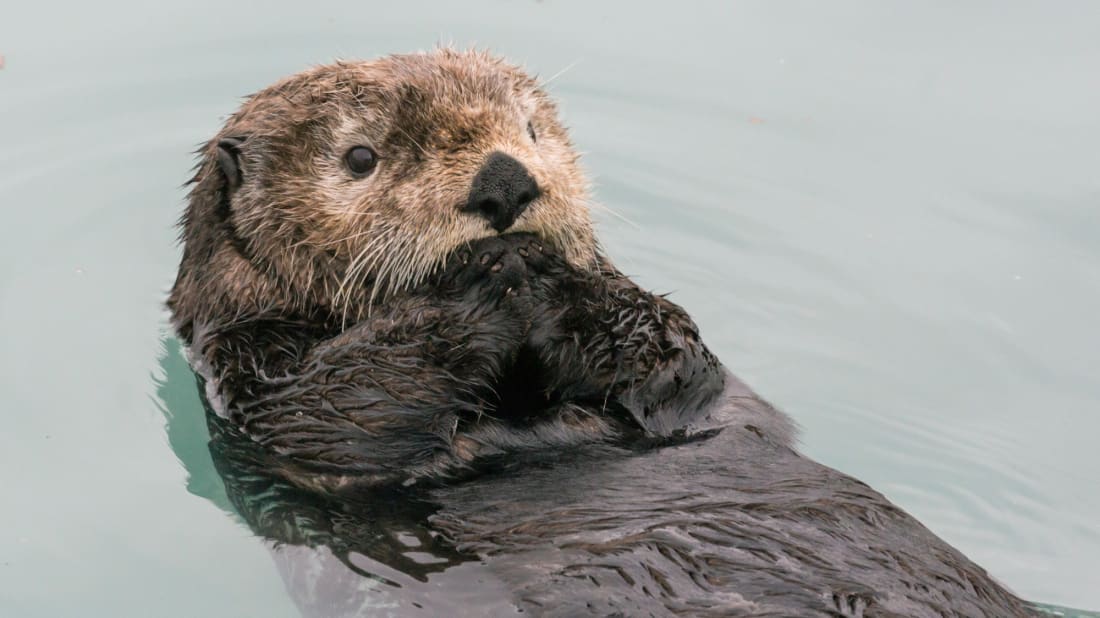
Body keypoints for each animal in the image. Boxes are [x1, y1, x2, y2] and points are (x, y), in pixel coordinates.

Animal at [167, 50, 1034, 611]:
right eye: (359, 157)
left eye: (530, 129)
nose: (505, 180)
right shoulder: (253, 377)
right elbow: (339, 410)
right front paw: (487, 282)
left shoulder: (688, 382)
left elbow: (678, 356)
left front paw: (558, 280)